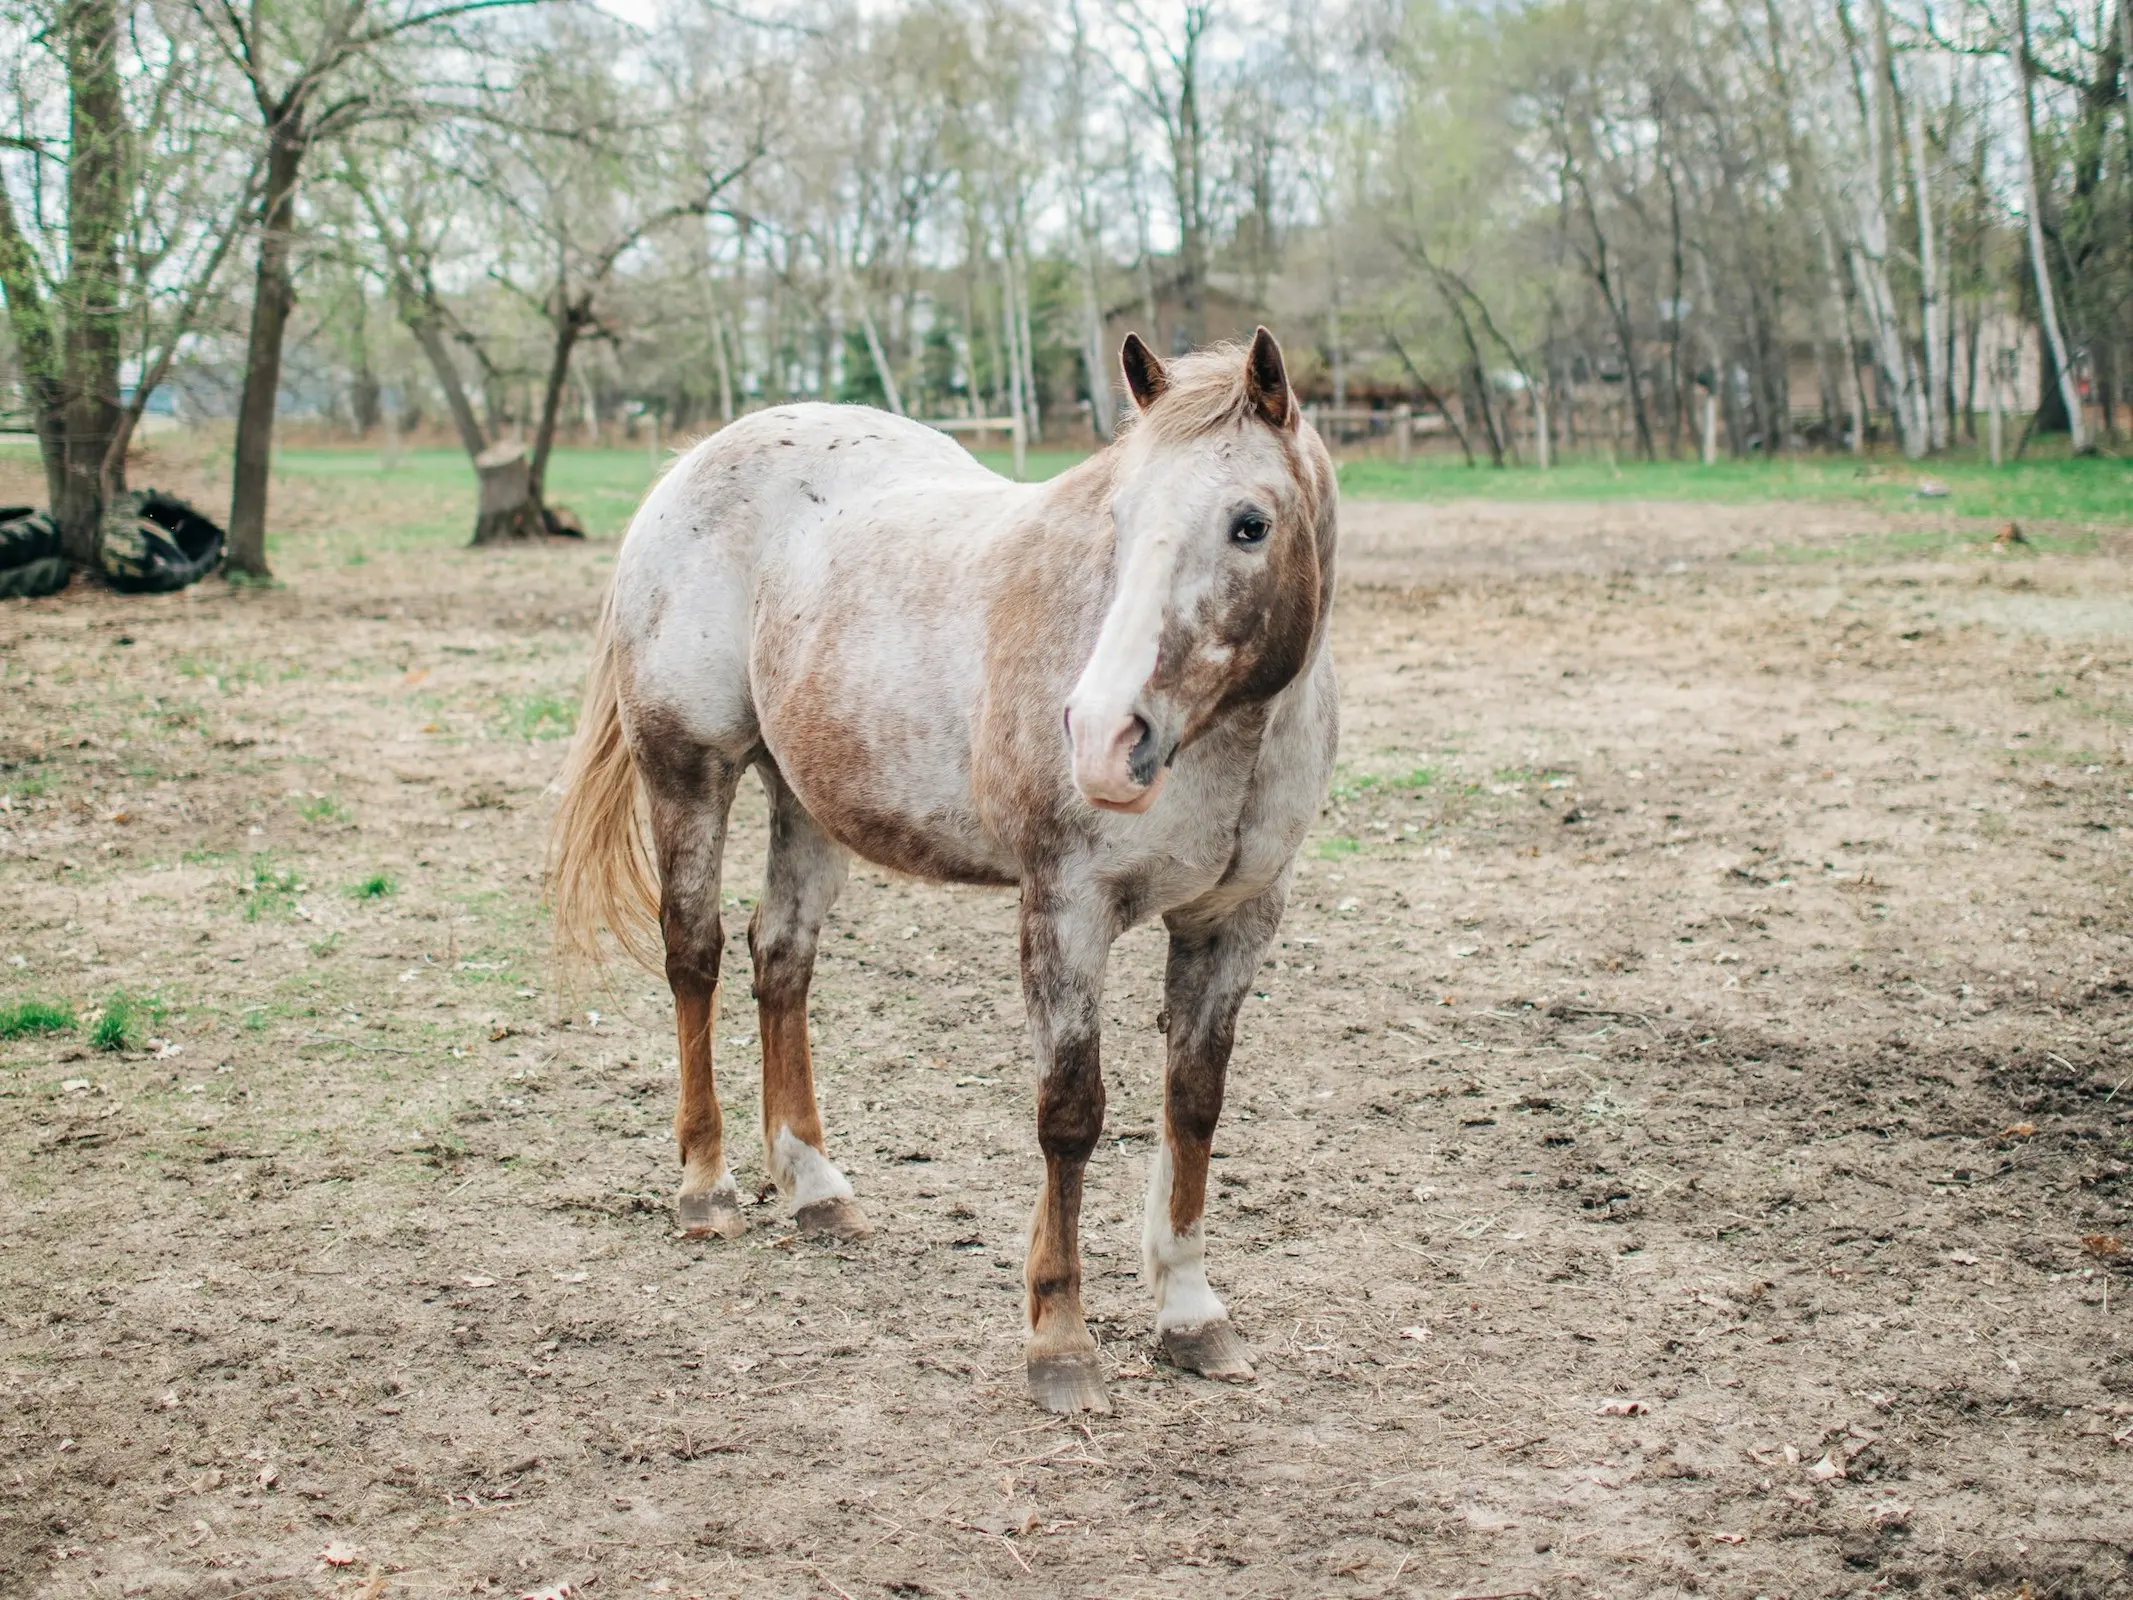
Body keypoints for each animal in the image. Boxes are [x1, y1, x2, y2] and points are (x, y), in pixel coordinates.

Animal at [550, 328, 1330, 1416]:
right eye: (1119, 520)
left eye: (1249, 524)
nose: (1103, 735)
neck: (1232, 741)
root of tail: (693, 464)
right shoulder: (1066, 910)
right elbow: (1070, 1115)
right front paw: (1059, 1342)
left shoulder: (1235, 921)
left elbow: (1193, 1105)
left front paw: (1189, 1313)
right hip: (688, 771)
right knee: (693, 955)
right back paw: (706, 1186)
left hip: (806, 798)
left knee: (779, 959)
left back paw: (814, 1187)